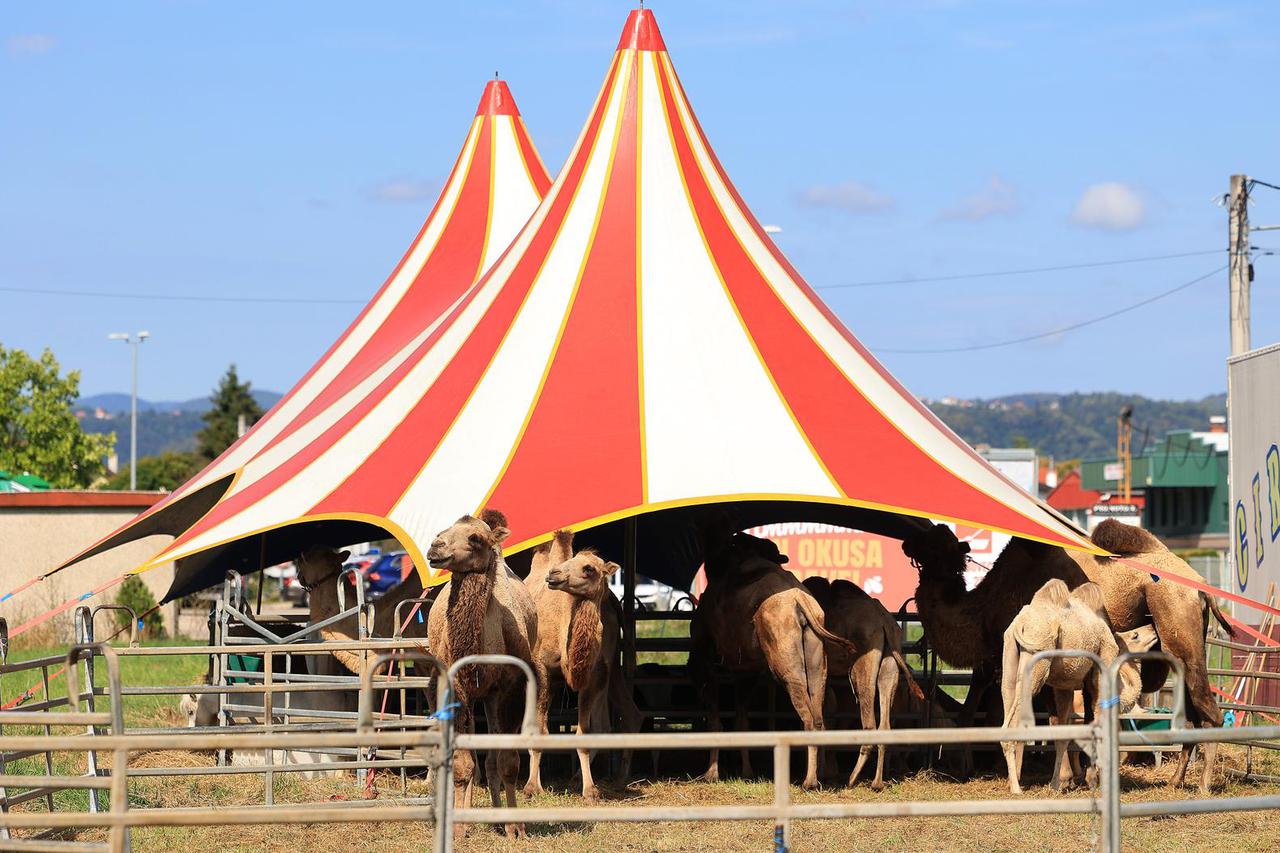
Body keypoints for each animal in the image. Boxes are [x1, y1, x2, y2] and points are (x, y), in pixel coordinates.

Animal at [422, 512, 537, 835]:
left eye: (475, 538)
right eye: (444, 529)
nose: (435, 546)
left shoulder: (510, 688)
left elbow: (508, 763)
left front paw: (516, 829)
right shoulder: (455, 688)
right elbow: (463, 765)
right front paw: (458, 830)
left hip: (488, 697)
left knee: (491, 761)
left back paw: (497, 818)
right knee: (471, 757)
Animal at [691, 535, 860, 788]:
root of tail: (801, 602)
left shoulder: (705, 656)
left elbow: (715, 719)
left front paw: (711, 774)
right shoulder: (745, 671)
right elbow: (742, 721)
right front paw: (747, 773)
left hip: (785, 658)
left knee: (806, 713)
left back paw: (808, 781)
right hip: (816, 657)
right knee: (818, 713)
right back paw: (816, 777)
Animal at [803, 573, 926, 788]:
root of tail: (884, 621)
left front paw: (819, 777)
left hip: (864, 656)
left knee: (868, 720)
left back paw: (852, 779)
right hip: (890, 659)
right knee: (884, 721)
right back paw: (876, 783)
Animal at [998, 578, 1162, 788]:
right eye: (1135, 635)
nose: (1152, 627)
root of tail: (1020, 623)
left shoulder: (1065, 686)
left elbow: (1065, 732)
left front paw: (1059, 783)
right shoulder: (1105, 658)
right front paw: (1095, 779)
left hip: (1010, 655)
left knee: (1008, 696)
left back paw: (1014, 782)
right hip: (1036, 657)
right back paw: (1016, 788)